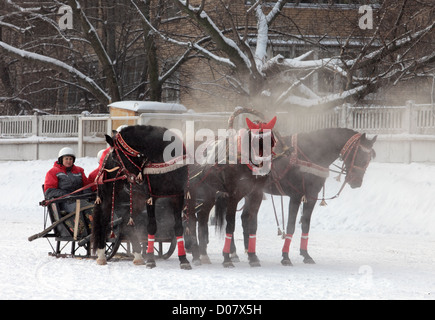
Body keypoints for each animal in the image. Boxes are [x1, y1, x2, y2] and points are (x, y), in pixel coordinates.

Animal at [92, 125, 191, 270]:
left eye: (116, 156)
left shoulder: (178, 195)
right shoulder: (151, 197)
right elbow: (152, 226)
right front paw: (150, 259)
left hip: (136, 200)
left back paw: (138, 255)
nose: (134, 179)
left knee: (126, 222)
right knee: (104, 220)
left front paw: (183, 260)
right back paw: (101, 255)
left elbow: (178, 227)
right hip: (110, 196)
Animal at [186, 115, 278, 268]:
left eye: (271, 140)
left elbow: (252, 224)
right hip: (192, 193)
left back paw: (203, 254)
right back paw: (195, 255)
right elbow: (230, 225)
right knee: (191, 219)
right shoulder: (233, 196)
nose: (264, 168)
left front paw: (253, 257)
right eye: (255, 140)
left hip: (209, 193)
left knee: (203, 217)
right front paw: (227, 258)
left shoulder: (255, 194)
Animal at [213, 127, 376, 264]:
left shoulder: (311, 196)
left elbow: (305, 223)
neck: (310, 154)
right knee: (231, 218)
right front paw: (285, 256)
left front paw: (306, 254)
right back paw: (233, 252)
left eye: (368, 159)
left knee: (245, 217)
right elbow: (291, 225)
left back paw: (247, 251)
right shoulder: (296, 196)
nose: (356, 182)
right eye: (358, 154)